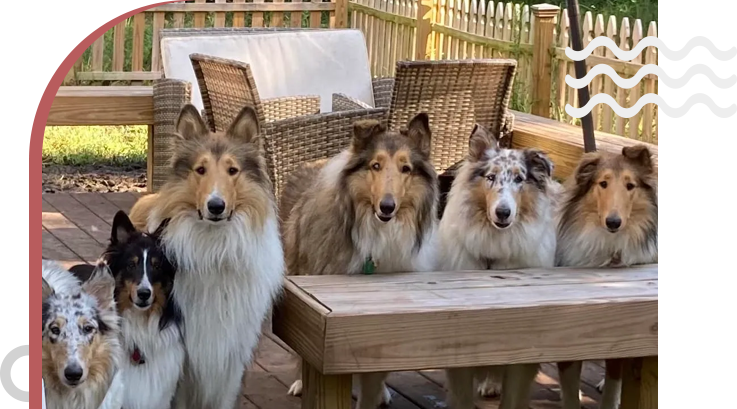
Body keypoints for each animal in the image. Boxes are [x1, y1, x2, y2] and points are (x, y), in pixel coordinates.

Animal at [128, 103, 284, 408]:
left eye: (233, 170)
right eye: (200, 169)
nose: (216, 206)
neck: (215, 248)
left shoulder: (231, 360)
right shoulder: (183, 359)